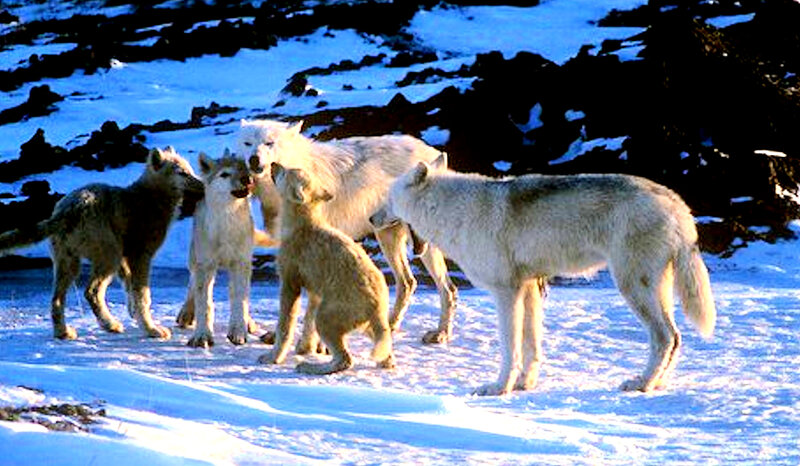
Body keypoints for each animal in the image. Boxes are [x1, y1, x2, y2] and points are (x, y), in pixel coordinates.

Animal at [0, 147, 204, 340]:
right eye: (182, 173)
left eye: (190, 170)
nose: (203, 185)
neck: (150, 197)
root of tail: (67, 211)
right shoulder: (140, 255)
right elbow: (142, 294)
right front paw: (151, 329)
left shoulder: (124, 256)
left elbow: (129, 286)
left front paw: (133, 312)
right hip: (108, 255)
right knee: (91, 292)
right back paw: (110, 324)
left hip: (69, 261)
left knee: (57, 299)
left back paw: (64, 332)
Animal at [176, 150, 260, 348]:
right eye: (225, 174)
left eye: (245, 169)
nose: (247, 179)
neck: (226, 224)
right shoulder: (205, 265)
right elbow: (204, 302)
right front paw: (202, 336)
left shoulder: (240, 263)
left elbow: (239, 300)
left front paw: (238, 332)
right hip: (195, 259)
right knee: (192, 284)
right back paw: (186, 313)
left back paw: (249, 322)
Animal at [239, 118, 458, 349]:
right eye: (247, 144)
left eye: (269, 143)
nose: (253, 159)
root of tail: (433, 153)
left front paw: (315, 345)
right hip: (387, 238)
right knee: (409, 282)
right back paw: (390, 326)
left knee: (448, 289)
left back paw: (441, 334)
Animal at [258, 162, 395, 374]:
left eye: (286, 171)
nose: (273, 164)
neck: (303, 226)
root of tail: (377, 303)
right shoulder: (314, 290)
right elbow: (307, 322)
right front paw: (305, 348)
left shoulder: (290, 283)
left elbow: (284, 327)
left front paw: (273, 358)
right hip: (365, 325)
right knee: (385, 350)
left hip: (326, 317)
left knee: (345, 360)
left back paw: (309, 367)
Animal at [370, 154, 716, 395]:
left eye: (388, 197)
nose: (372, 219)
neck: (452, 210)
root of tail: (678, 205)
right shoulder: (529, 288)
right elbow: (531, 345)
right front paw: (526, 384)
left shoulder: (506, 292)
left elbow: (510, 348)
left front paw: (499, 388)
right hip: (656, 290)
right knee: (675, 337)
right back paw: (657, 384)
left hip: (633, 287)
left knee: (664, 337)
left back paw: (642, 383)